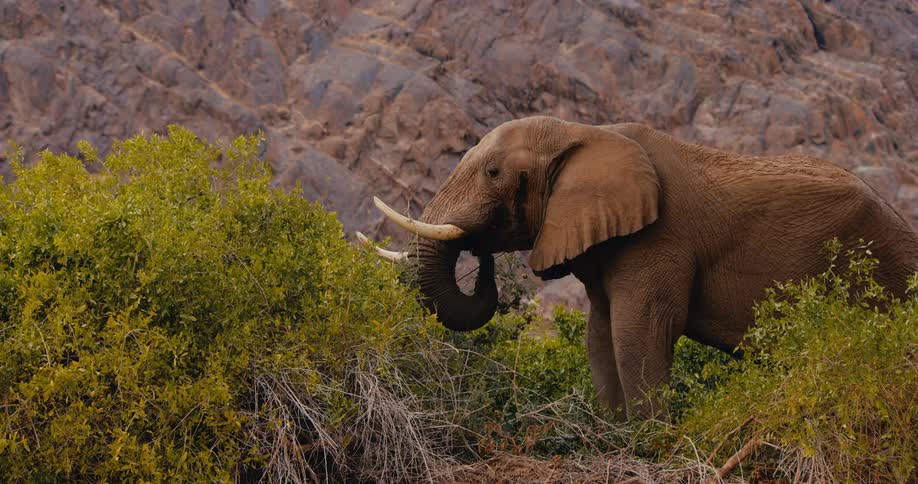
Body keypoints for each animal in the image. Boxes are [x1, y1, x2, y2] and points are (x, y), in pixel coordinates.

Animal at [357, 116, 918, 418]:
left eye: (494, 173)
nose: (482, 259)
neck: (582, 133)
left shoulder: (659, 238)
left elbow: (639, 330)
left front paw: (651, 440)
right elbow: (601, 335)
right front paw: (617, 433)